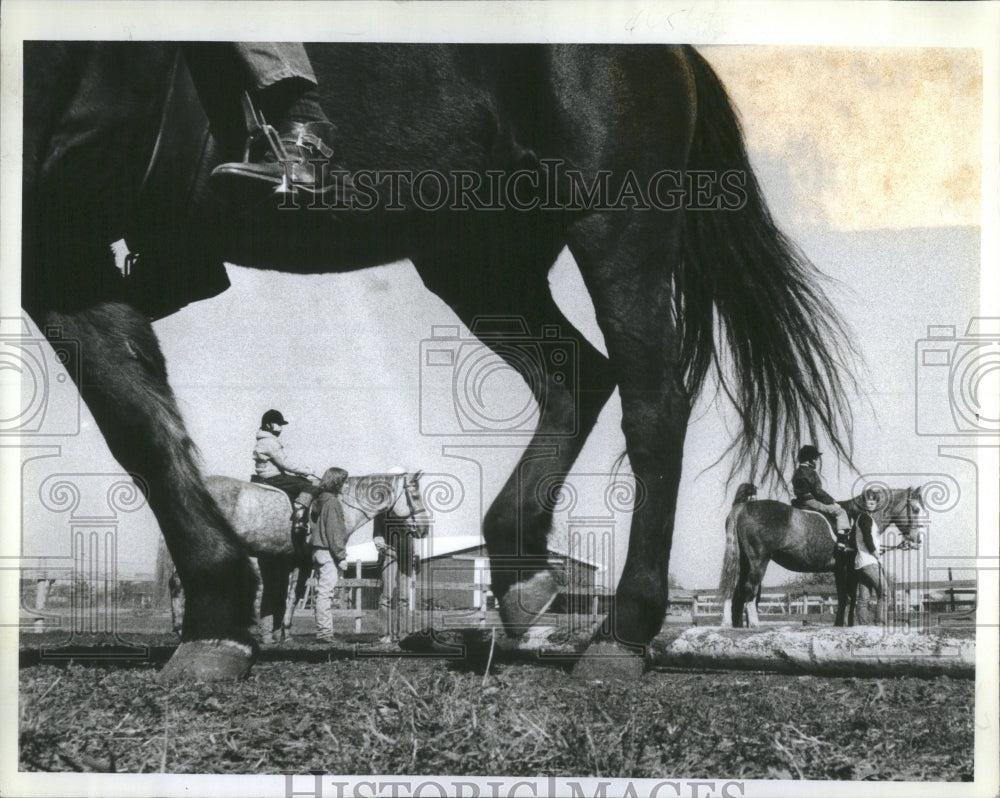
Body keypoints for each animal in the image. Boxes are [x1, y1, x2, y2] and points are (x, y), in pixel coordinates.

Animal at [21, 43, 860, 680]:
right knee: (576, 377)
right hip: (478, 257)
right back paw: (522, 568)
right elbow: (139, 426)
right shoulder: (60, 244)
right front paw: (216, 621)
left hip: (618, 228)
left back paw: (620, 635)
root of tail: (671, 53)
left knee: (653, 404)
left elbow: (139, 422)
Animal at [716, 484, 924, 628]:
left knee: (734, 589)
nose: (918, 539)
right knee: (748, 589)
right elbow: (851, 596)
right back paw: (754, 624)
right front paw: (849, 624)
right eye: (915, 509)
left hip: (743, 562)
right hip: (758, 561)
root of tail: (742, 507)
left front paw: (840, 624)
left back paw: (732, 624)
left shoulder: (839, 569)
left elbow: (843, 596)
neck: (859, 515)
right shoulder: (849, 567)